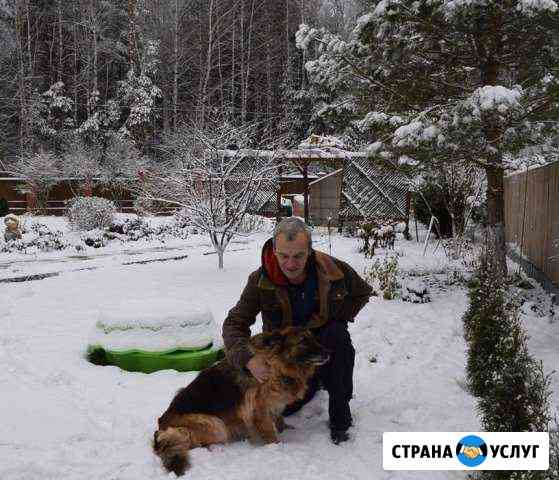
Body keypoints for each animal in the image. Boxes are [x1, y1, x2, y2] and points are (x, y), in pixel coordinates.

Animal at [153, 326, 328, 476]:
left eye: (314, 338)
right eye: (303, 341)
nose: (328, 352)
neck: (276, 362)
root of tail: (162, 426)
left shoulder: (274, 406)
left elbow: (278, 419)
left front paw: (285, 428)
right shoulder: (259, 409)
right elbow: (270, 431)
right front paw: (277, 446)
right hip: (215, 424)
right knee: (195, 442)